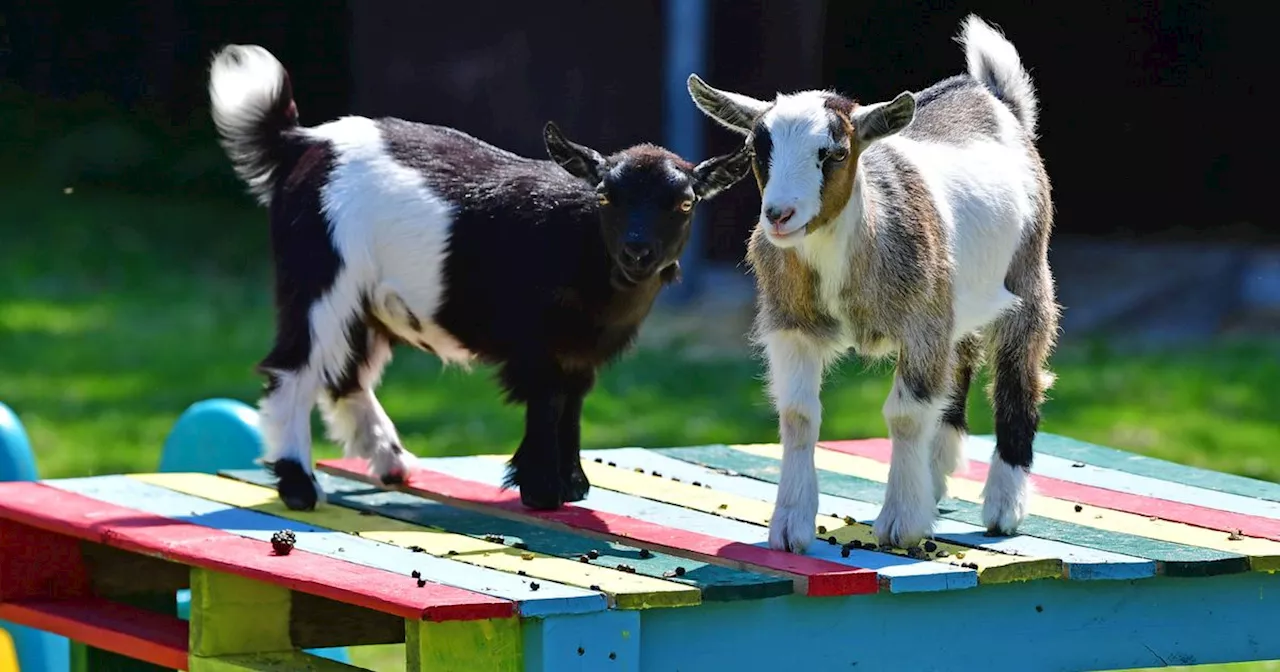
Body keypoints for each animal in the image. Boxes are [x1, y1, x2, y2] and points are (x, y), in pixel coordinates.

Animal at [204, 44, 752, 512]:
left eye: (684, 204)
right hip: (320, 274)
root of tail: (301, 143)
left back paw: (392, 463)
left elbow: (572, 404)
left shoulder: (579, 350)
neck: (583, 246)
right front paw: (541, 490)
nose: (637, 251)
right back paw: (299, 485)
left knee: (345, 376)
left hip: (366, 300)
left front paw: (573, 485)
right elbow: (546, 403)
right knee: (293, 369)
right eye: (604, 197)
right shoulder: (536, 343)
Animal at [691, 14, 1059, 550]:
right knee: (959, 364)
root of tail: (992, 94)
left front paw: (901, 523)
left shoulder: (922, 324)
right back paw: (937, 472)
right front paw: (790, 526)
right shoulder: (792, 325)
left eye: (834, 153)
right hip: (958, 298)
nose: (778, 215)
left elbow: (904, 413)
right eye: (757, 149)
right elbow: (798, 415)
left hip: (1027, 276)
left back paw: (1003, 505)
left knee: (1018, 374)